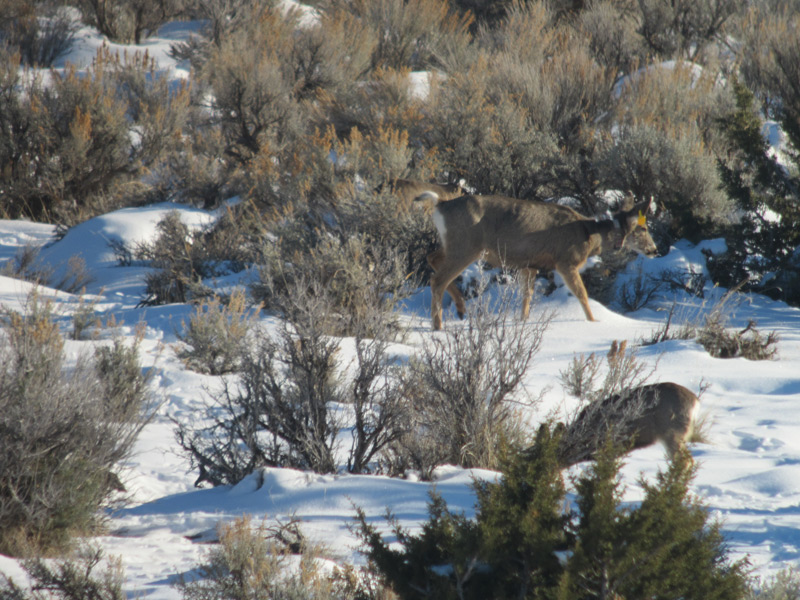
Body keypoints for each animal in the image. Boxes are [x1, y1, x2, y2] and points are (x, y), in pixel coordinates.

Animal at [418, 192, 656, 330]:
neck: (589, 235)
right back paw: (438, 326)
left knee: (432, 258)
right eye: (643, 228)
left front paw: (522, 322)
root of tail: (440, 205)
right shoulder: (566, 260)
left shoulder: (529, 265)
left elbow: (527, 296)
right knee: (437, 279)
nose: (654, 250)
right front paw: (594, 322)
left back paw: (460, 309)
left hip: (454, 245)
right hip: (466, 246)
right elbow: (581, 293)